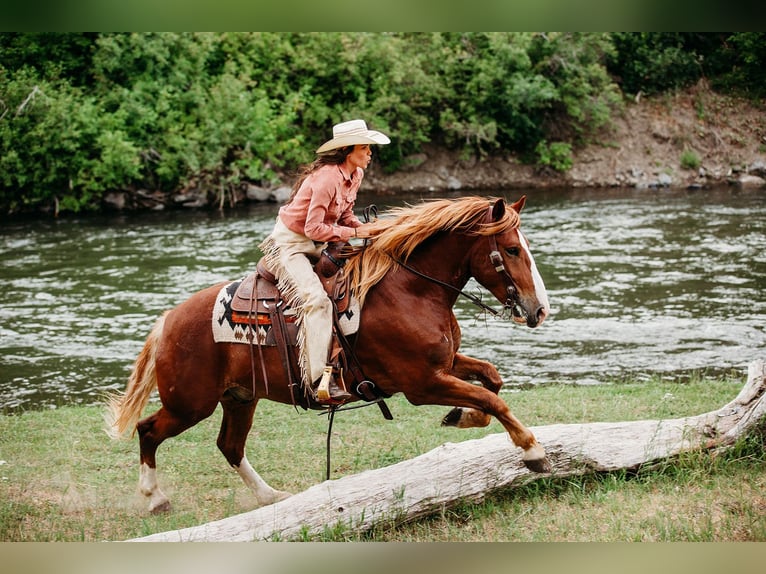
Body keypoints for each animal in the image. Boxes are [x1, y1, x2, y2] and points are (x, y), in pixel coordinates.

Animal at [106, 195, 552, 514]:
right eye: (512, 250)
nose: (539, 310)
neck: (409, 290)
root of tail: (170, 319)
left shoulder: (444, 365)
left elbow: (491, 380)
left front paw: (463, 417)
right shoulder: (421, 385)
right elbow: (492, 397)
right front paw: (533, 451)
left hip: (239, 398)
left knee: (229, 445)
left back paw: (271, 497)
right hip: (189, 404)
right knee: (148, 430)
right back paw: (156, 498)